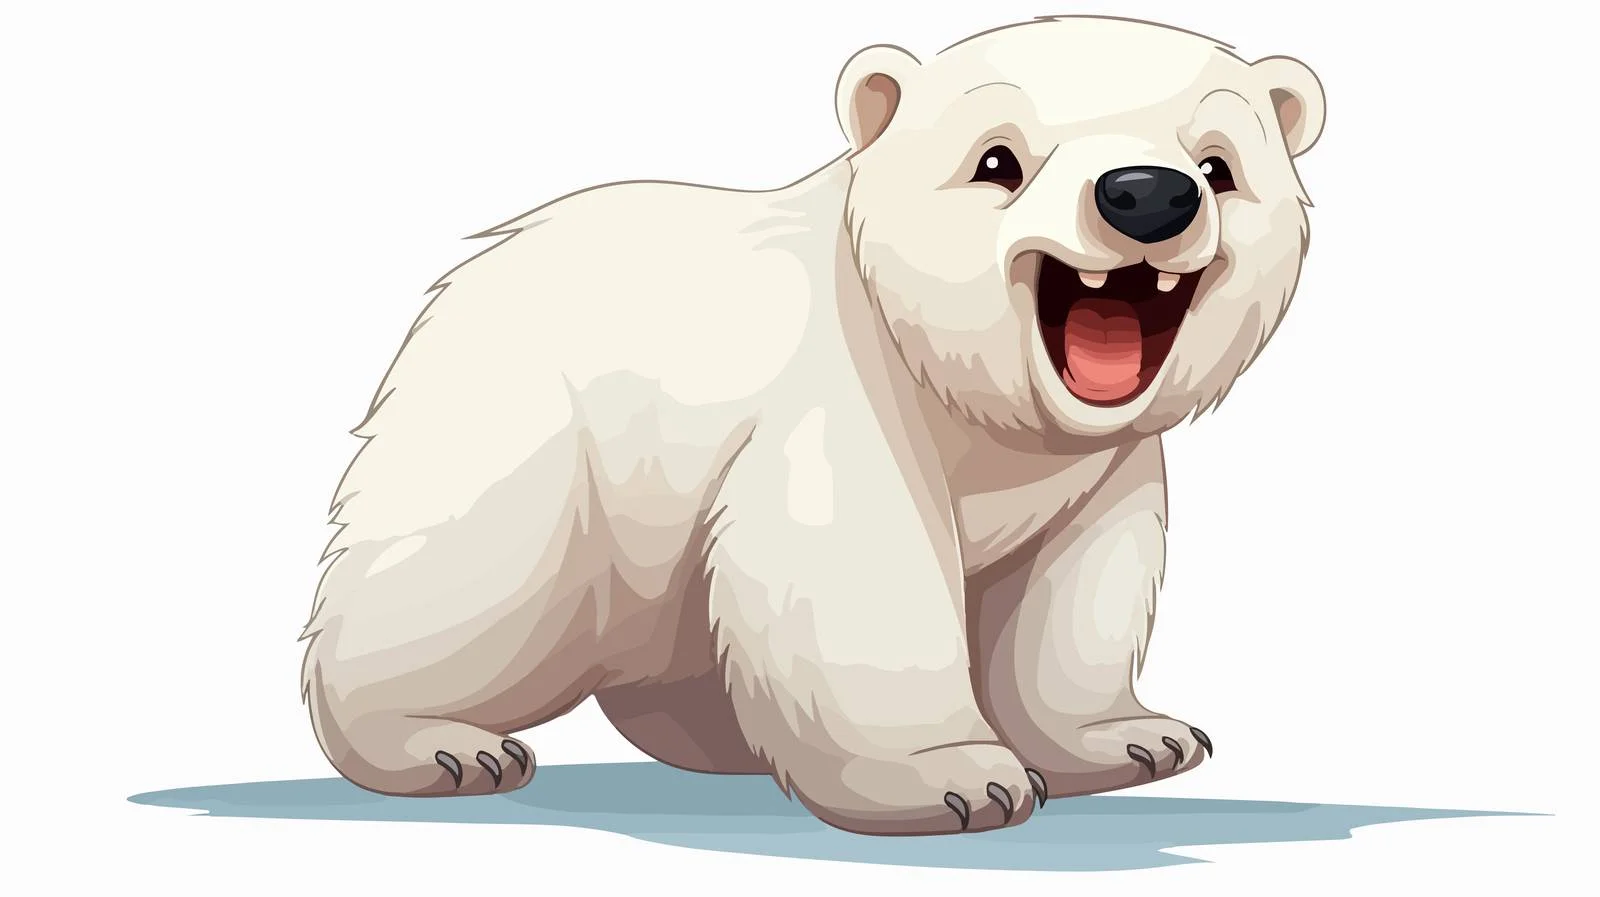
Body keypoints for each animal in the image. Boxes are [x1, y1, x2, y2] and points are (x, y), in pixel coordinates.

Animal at [298, 14, 1325, 836]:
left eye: (1218, 165)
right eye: (997, 161)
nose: (1147, 194)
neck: (976, 401)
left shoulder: (1098, 465)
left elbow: (1078, 580)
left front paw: (1133, 737)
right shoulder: (847, 390)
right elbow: (857, 561)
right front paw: (960, 778)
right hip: (542, 447)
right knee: (474, 581)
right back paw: (439, 743)